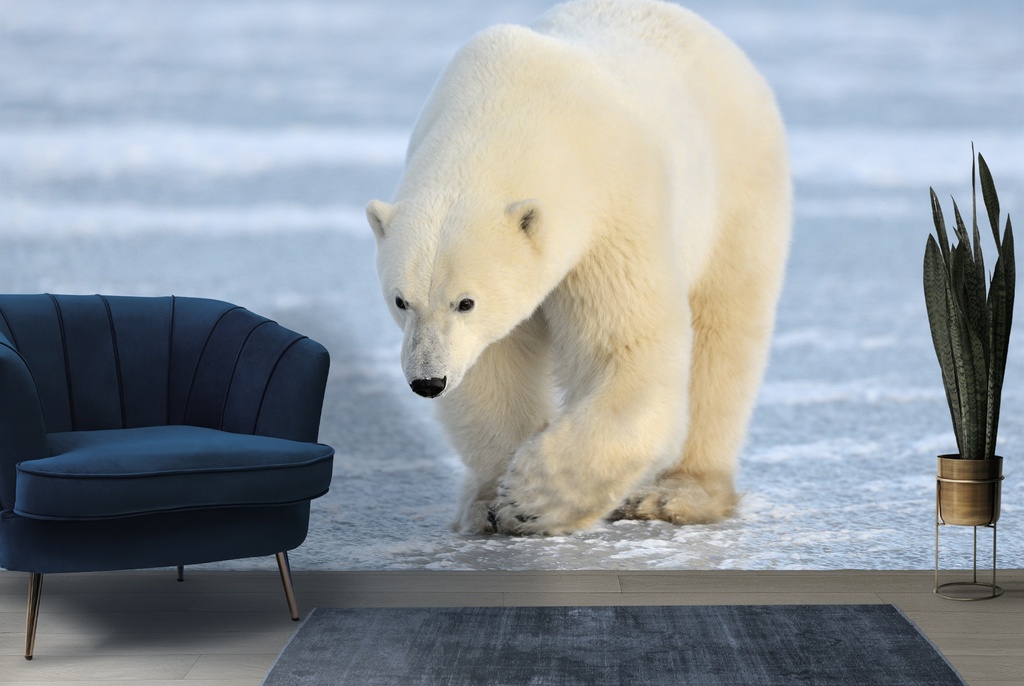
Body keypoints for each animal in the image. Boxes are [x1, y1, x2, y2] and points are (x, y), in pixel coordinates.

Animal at [366, 0, 791, 536]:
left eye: (466, 302)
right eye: (401, 300)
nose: (427, 381)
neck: (511, 111)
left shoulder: (612, 211)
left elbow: (626, 350)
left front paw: (530, 498)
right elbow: (492, 369)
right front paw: (490, 503)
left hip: (736, 193)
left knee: (724, 335)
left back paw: (677, 495)